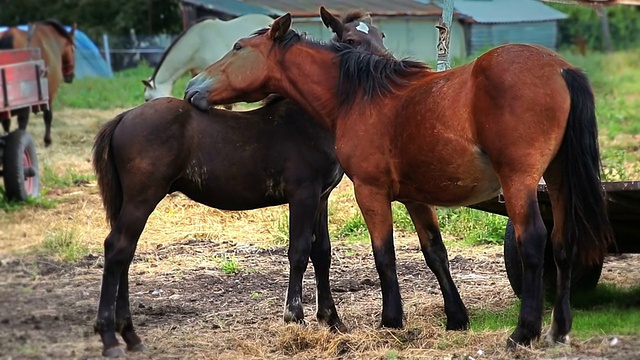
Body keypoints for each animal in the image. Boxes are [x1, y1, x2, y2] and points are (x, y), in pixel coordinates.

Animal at [186, 14, 616, 348]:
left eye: (238, 47)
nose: (192, 89)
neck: (359, 98)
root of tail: (560, 68)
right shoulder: (415, 197)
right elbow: (435, 253)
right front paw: (456, 318)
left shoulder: (370, 192)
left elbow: (384, 256)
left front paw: (391, 320)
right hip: (557, 179)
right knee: (562, 243)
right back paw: (559, 328)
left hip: (519, 183)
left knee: (534, 243)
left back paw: (524, 332)